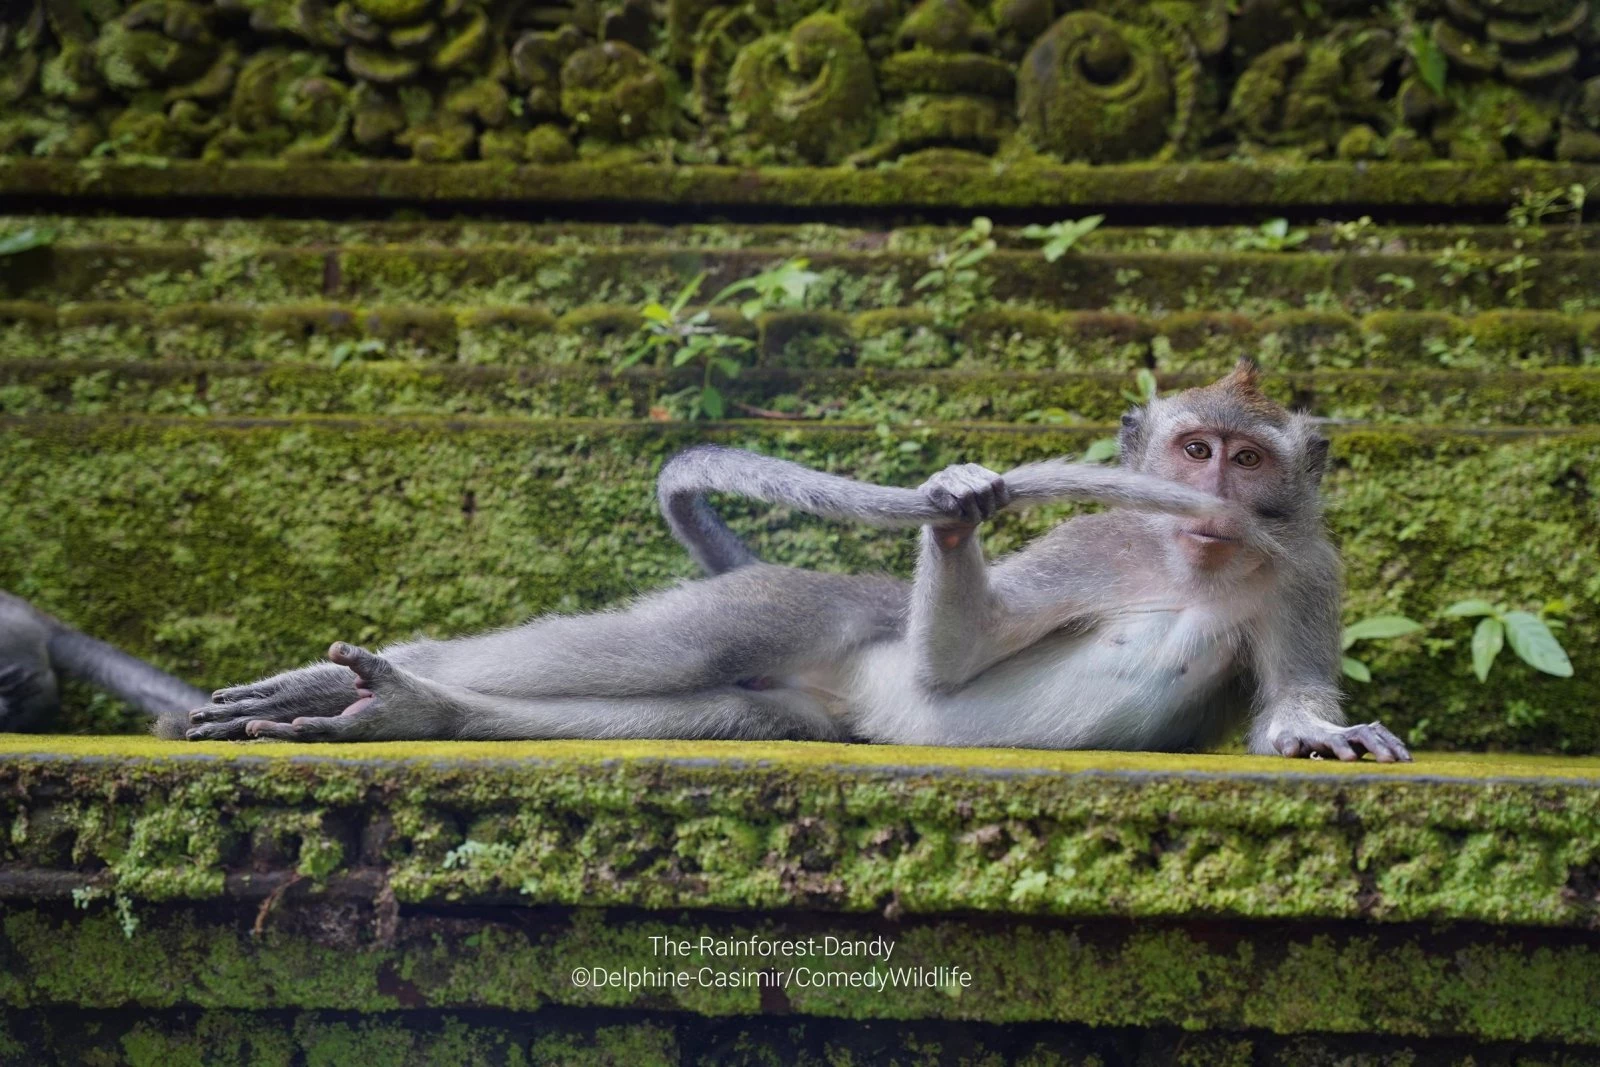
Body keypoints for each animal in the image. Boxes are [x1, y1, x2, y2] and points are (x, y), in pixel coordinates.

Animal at [162, 363, 1408, 764]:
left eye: (1247, 455)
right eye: (1194, 449)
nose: (1216, 498)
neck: (1190, 562)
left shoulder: (1308, 568)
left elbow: (1290, 694)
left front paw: (1322, 732)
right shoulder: (1093, 543)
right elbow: (958, 661)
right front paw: (960, 504)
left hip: (803, 710)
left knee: (708, 705)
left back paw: (417, 710)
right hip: (797, 604)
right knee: (675, 645)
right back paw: (367, 680)